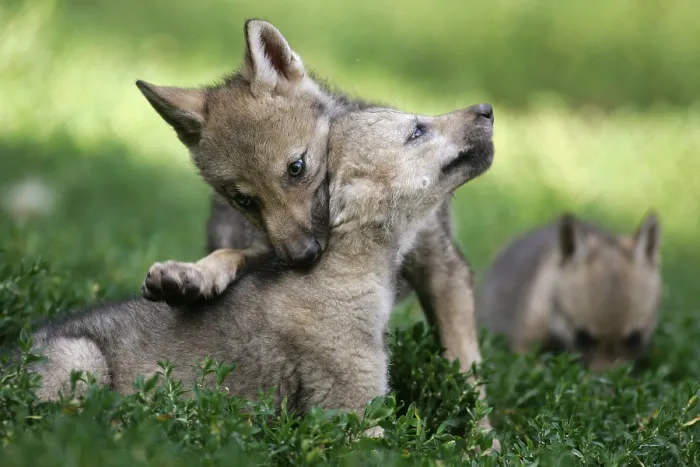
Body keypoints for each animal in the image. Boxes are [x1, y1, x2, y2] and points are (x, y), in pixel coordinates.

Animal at [26, 72, 495, 430]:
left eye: (298, 169)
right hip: (81, 367)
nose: (487, 109)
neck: (348, 268)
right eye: (416, 131)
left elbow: (469, 375)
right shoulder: (350, 411)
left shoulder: (444, 272)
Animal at [136, 20, 496, 434]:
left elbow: (466, 369)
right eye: (244, 199)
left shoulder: (442, 268)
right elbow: (231, 255)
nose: (303, 257)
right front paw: (191, 275)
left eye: (297, 167)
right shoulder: (272, 249)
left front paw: (484, 438)